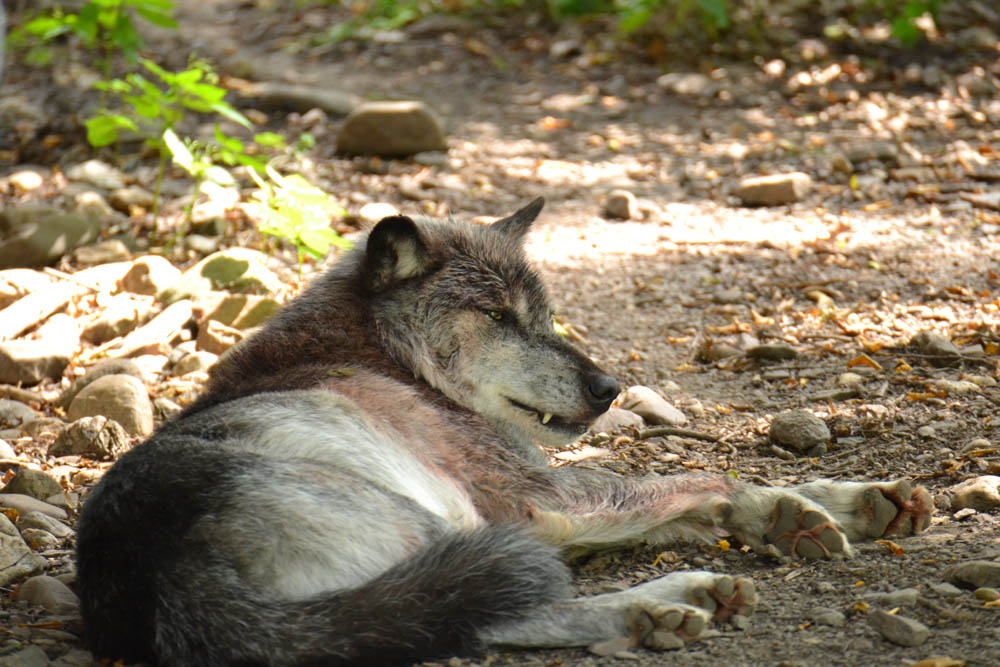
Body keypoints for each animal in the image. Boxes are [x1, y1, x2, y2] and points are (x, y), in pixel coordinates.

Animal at [76, 198, 933, 666]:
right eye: (495, 316)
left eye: (545, 316)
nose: (608, 389)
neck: (382, 354)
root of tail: (157, 571)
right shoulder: (537, 496)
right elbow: (709, 479)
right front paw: (789, 512)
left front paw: (856, 499)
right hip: (436, 523)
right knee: (505, 608)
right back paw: (665, 602)